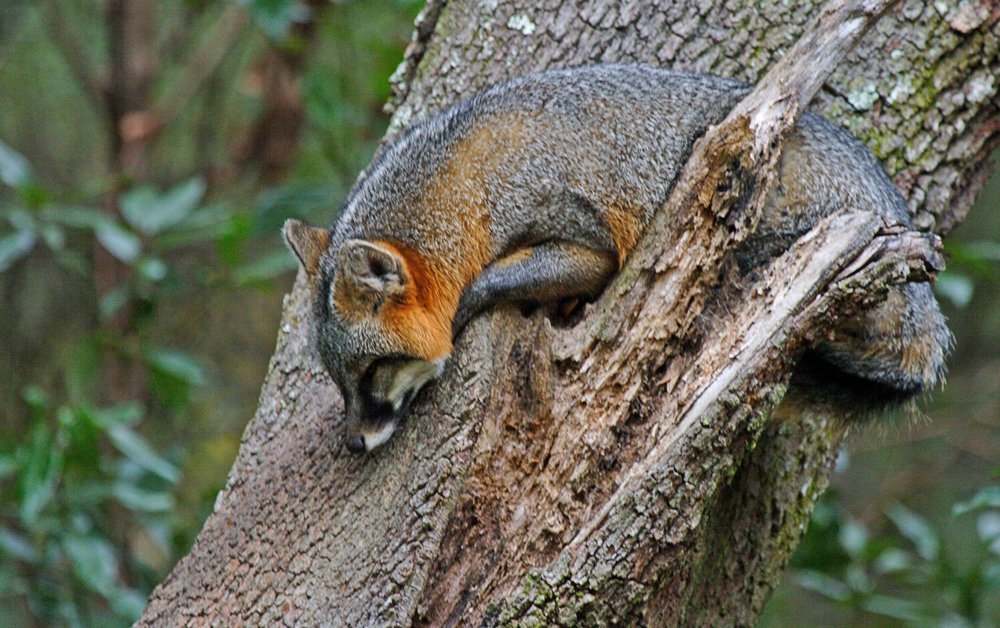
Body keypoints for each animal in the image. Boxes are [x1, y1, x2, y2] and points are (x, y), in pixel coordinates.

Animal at [283, 65, 951, 454]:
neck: (472, 190)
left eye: (373, 373)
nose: (352, 444)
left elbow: (486, 286)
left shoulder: (586, 243)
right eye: (339, 381)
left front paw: (471, 308)